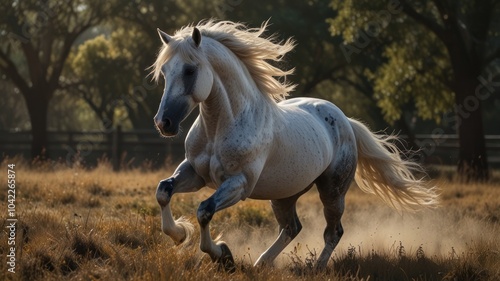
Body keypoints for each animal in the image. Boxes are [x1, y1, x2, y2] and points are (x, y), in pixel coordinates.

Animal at [152, 19, 438, 270]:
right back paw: (261, 263)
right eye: (164, 72)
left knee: (333, 231)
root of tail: (345, 121)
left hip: (332, 191)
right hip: (284, 193)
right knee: (291, 228)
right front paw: (179, 235)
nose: (163, 122)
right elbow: (163, 191)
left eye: (190, 70)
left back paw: (316, 268)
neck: (220, 127)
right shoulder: (195, 173)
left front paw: (222, 255)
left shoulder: (239, 184)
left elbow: (204, 211)